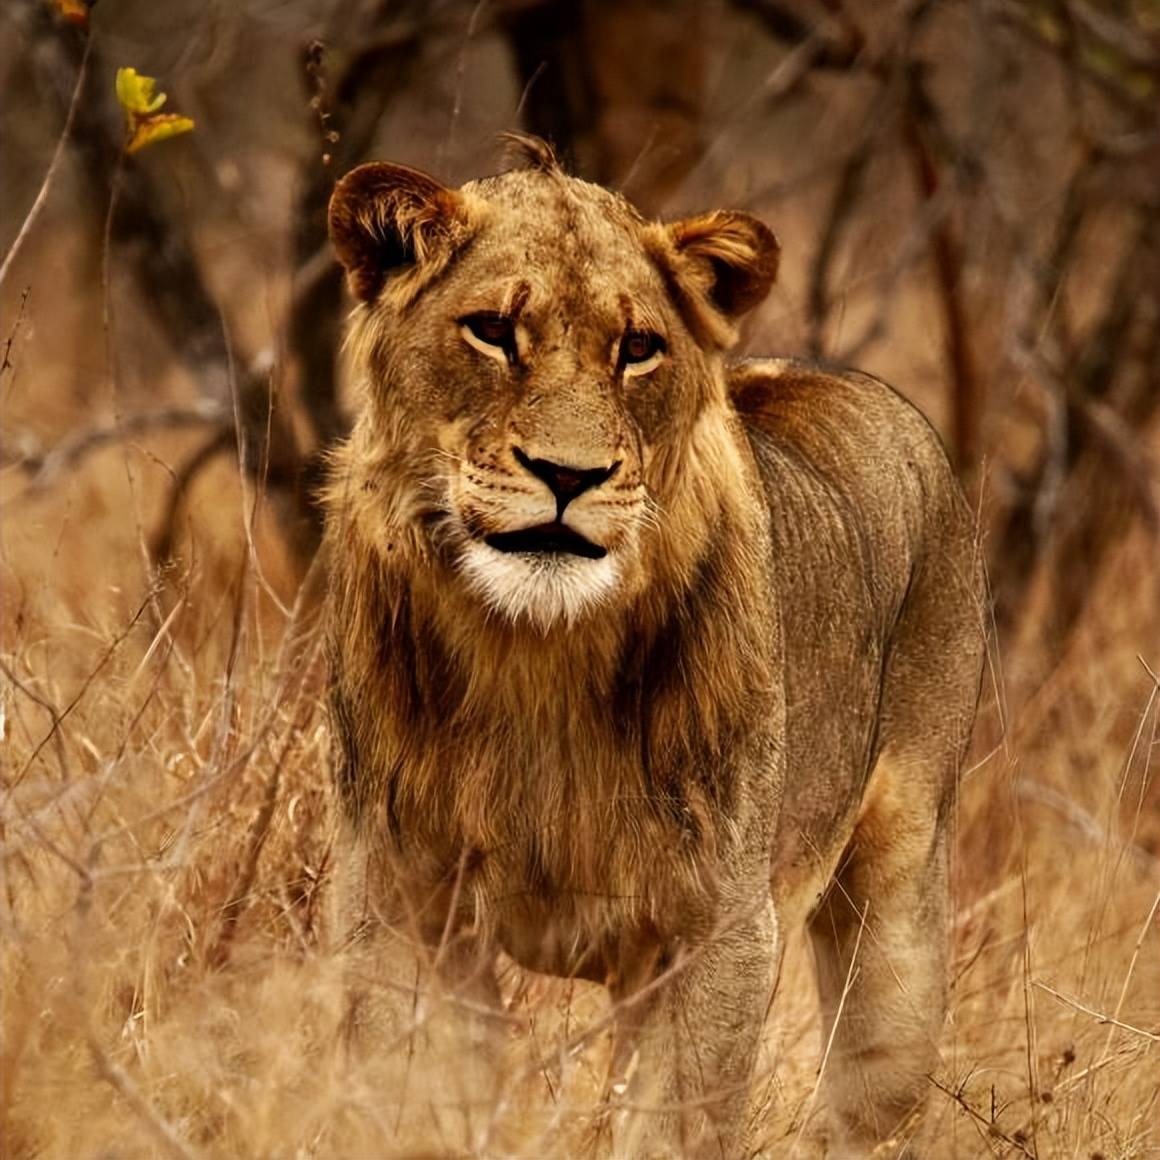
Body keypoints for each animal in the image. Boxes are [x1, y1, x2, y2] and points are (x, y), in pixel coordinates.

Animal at [322, 138, 983, 1160]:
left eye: (637, 348)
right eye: (492, 332)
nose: (569, 476)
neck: (534, 654)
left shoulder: (723, 930)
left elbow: (672, 1128)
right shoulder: (398, 903)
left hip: (901, 908)